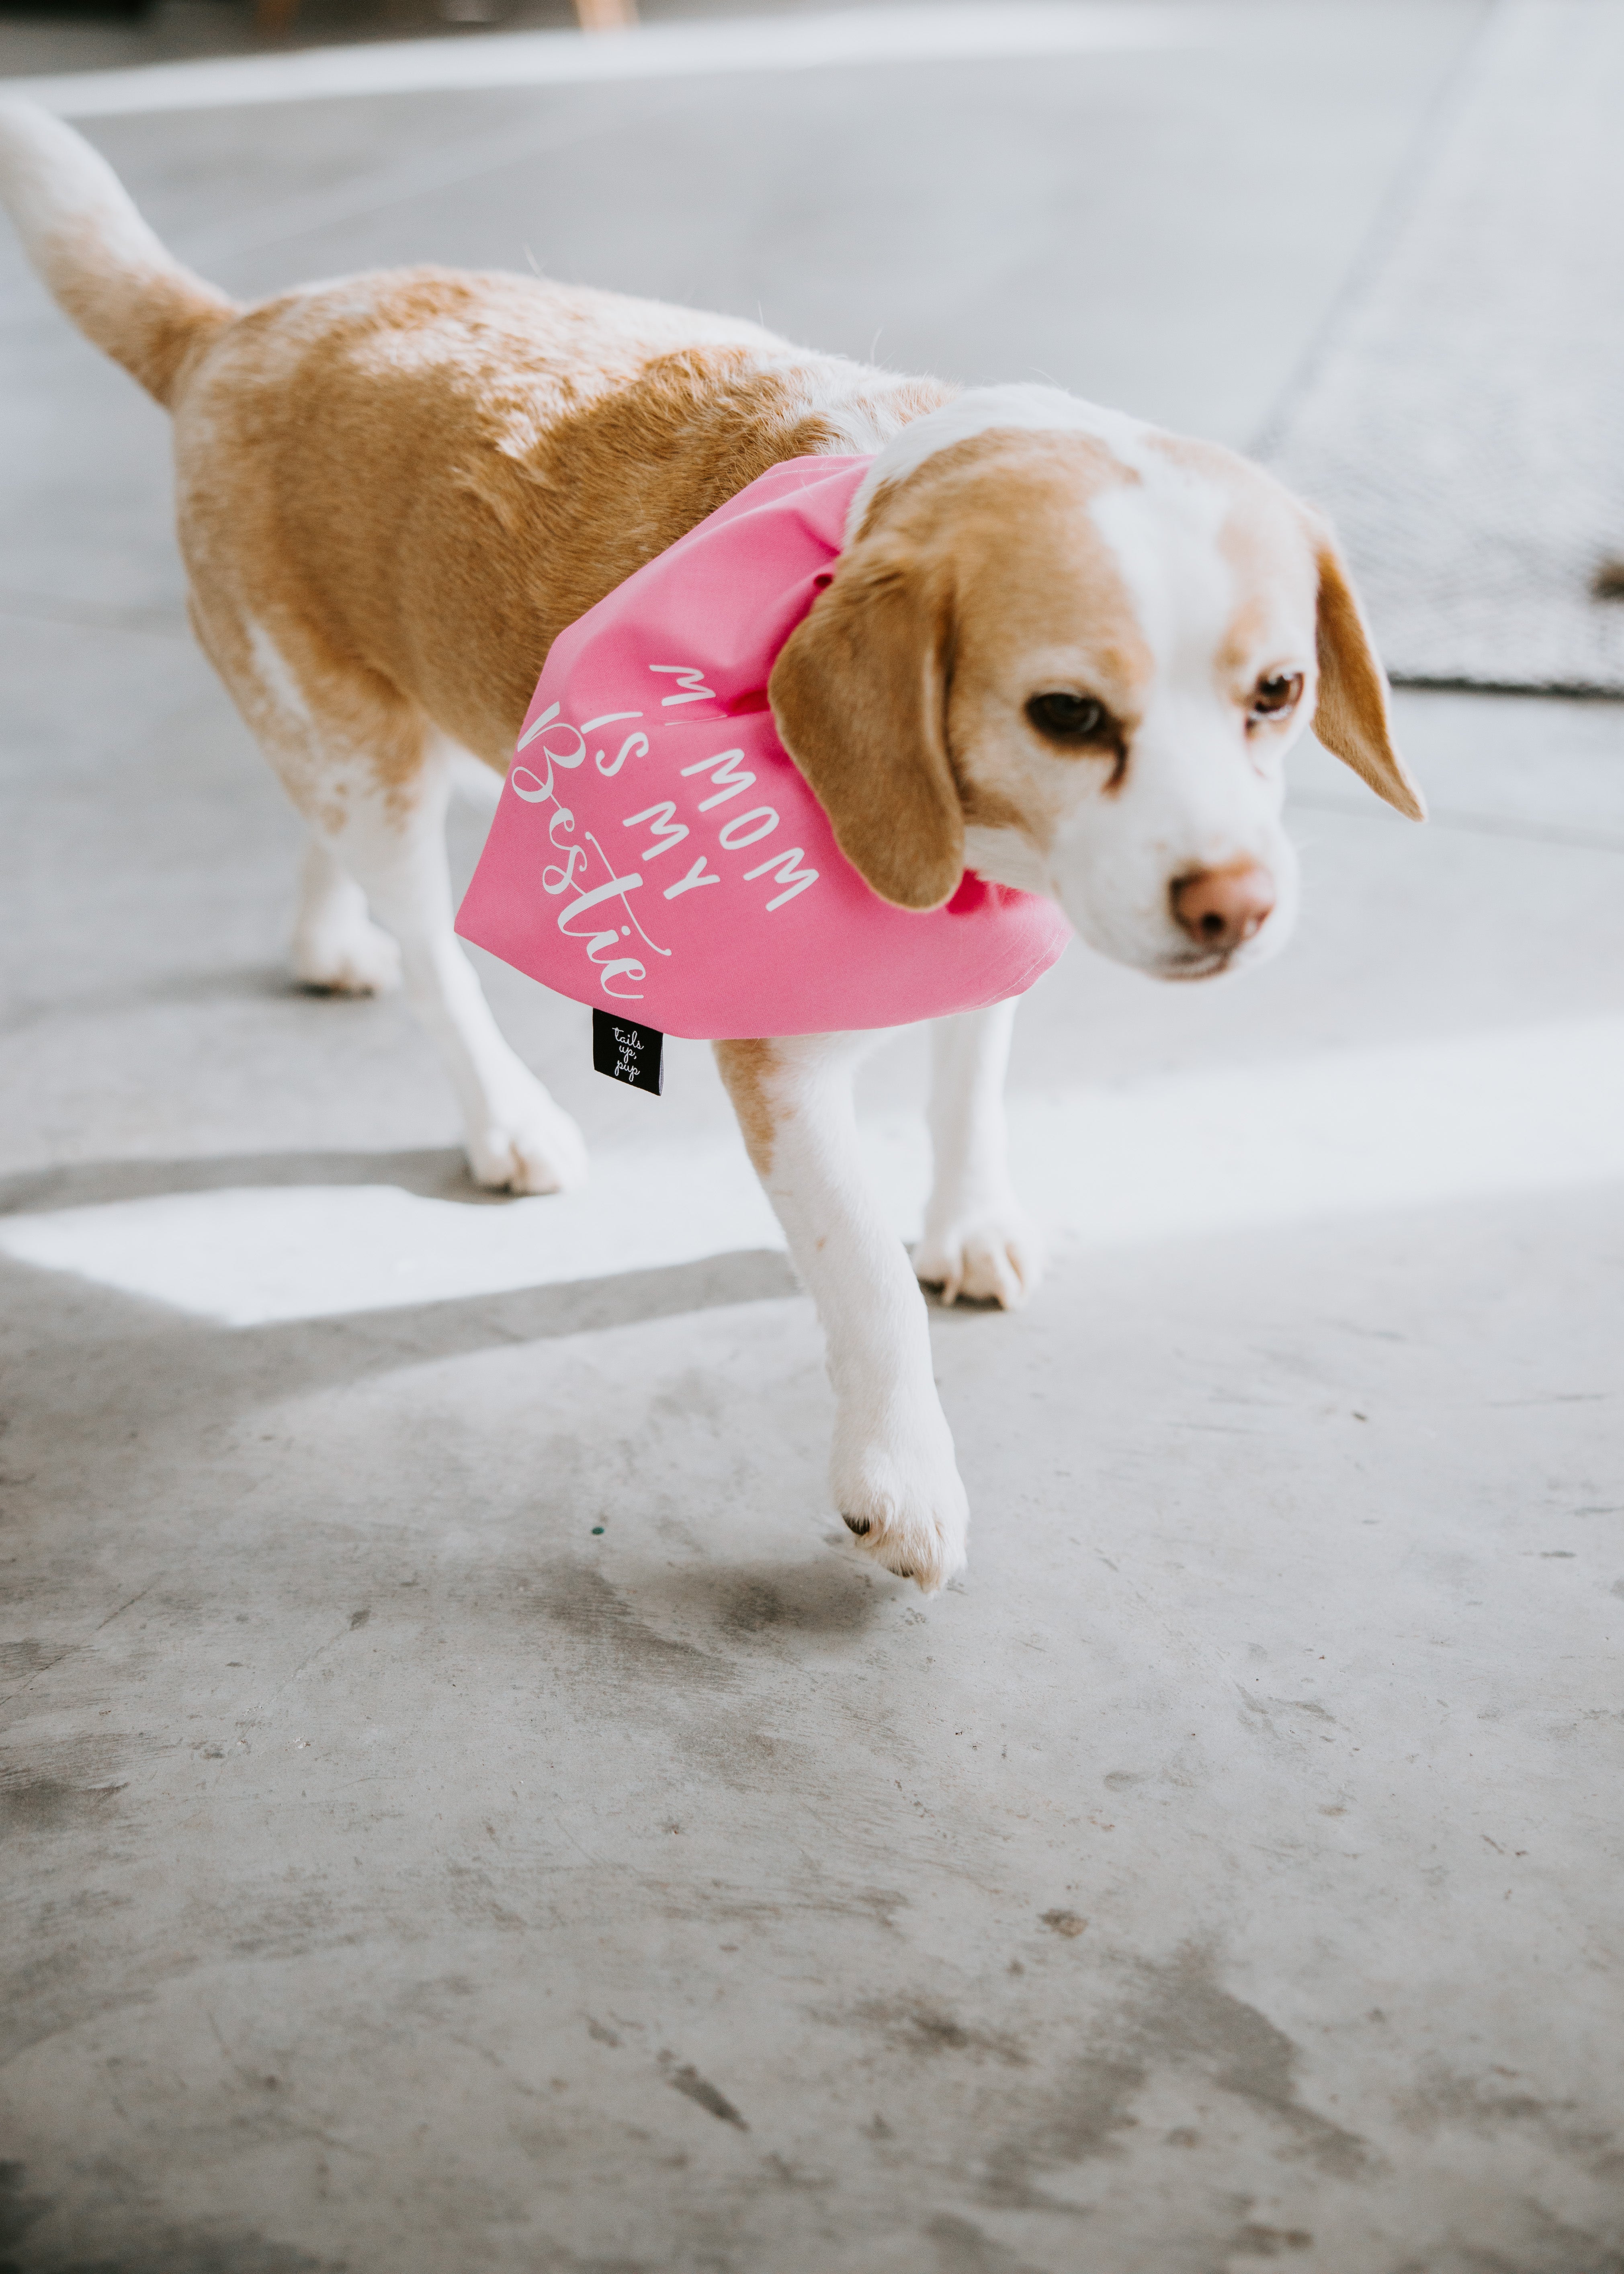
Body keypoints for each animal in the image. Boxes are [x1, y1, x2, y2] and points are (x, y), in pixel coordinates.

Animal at [0, 98, 1419, 1591]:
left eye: (1279, 691)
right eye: (1069, 713)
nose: (1236, 908)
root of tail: (235, 326)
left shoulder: (997, 938)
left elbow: (968, 1090)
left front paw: (969, 1217)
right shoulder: (780, 1072)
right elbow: (863, 1275)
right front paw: (901, 1475)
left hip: (410, 733)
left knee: (330, 837)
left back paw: (328, 936)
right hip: (379, 780)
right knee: (433, 954)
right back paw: (503, 1113)